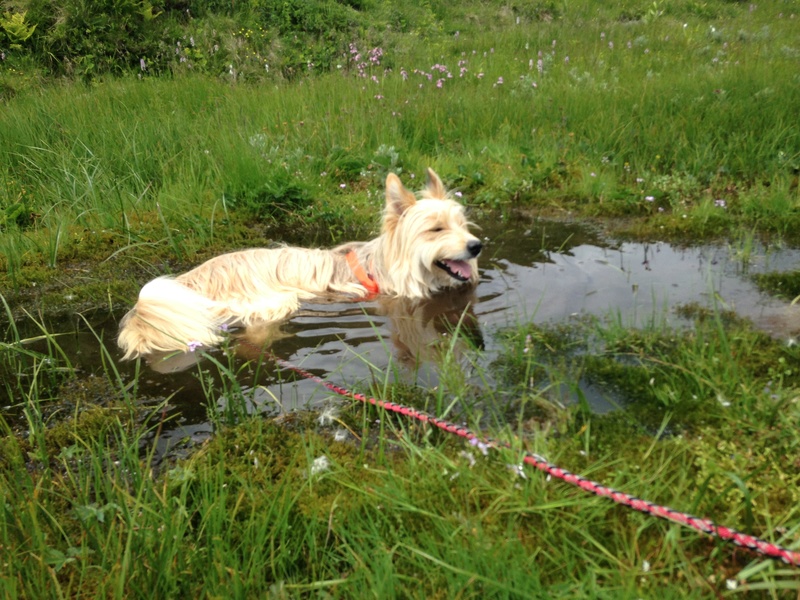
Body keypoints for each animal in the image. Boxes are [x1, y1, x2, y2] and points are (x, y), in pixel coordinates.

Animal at [117, 168, 482, 360]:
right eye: (436, 229)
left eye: (462, 225)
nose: (477, 246)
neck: (378, 265)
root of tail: (189, 282)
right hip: (274, 301)